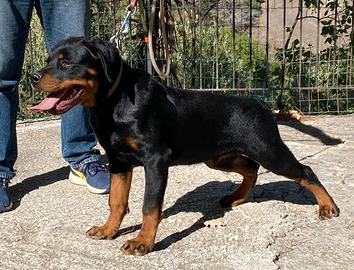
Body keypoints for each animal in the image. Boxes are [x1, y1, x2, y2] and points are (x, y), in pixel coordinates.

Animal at [29, 37, 340, 256]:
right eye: (48, 60)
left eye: (66, 63)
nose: (32, 77)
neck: (111, 103)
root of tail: (262, 105)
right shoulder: (118, 160)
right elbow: (116, 201)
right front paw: (108, 230)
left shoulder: (155, 159)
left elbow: (149, 206)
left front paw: (143, 242)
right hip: (217, 157)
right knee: (251, 168)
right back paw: (236, 198)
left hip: (268, 150)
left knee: (304, 171)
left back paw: (328, 206)